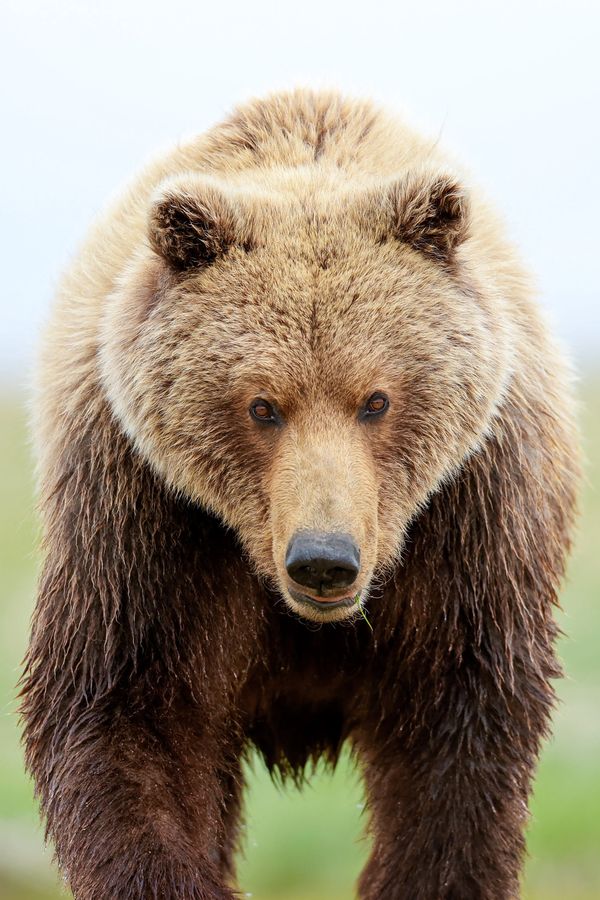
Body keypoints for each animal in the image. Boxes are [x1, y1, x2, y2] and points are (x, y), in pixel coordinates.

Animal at [21, 89, 579, 900]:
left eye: (376, 399)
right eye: (262, 405)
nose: (324, 560)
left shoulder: (471, 517)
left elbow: (457, 739)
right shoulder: (143, 518)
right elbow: (126, 718)